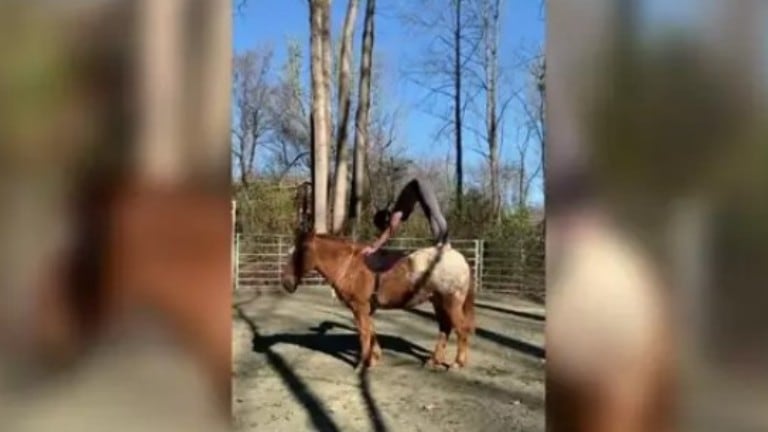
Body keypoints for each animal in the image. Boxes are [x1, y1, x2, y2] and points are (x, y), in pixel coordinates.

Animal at [280, 231, 474, 370]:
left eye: (301, 251)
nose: (286, 282)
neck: (350, 266)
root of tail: (460, 259)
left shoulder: (359, 307)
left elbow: (364, 333)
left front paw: (363, 363)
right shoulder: (365, 309)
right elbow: (371, 330)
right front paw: (374, 357)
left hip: (450, 302)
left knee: (461, 329)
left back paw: (458, 363)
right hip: (437, 302)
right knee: (445, 328)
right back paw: (434, 361)